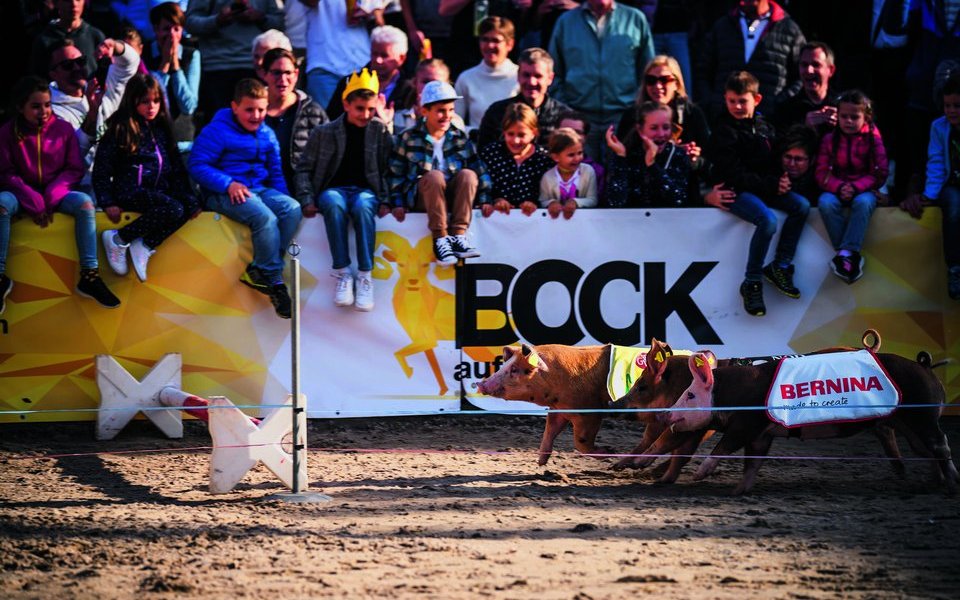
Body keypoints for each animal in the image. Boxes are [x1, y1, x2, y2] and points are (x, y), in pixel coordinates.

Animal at [664, 350, 956, 494]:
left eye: (690, 394)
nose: (667, 414)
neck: (733, 393)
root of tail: (927, 369)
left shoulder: (747, 423)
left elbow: (723, 446)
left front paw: (699, 476)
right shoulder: (762, 434)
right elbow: (753, 462)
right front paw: (738, 491)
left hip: (923, 416)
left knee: (941, 443)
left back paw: (952, 482)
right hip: (910, 424)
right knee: (926, 450)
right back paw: (937, 482)